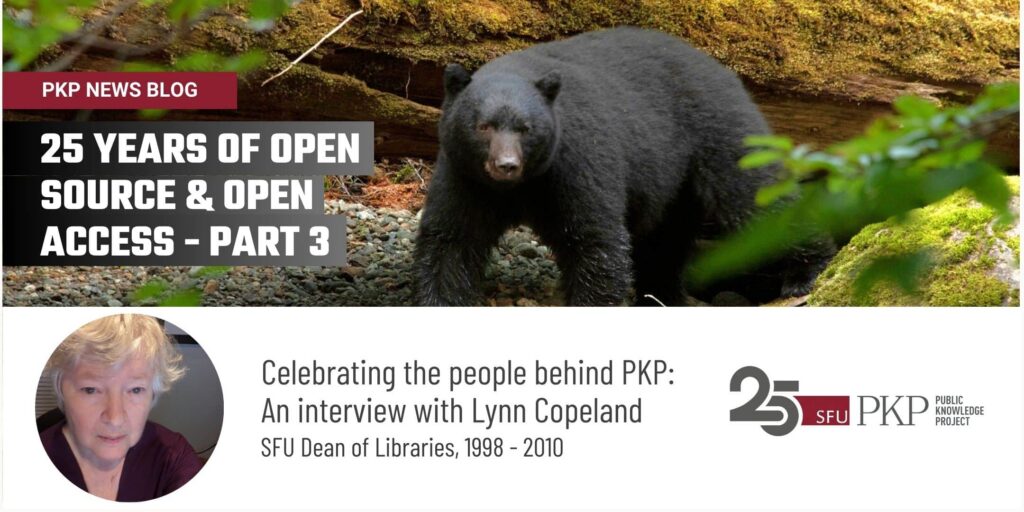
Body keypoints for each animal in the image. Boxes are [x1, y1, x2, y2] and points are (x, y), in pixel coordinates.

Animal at [414, 27, 834, 306]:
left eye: (525, 128)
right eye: (483, 126)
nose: (506, 165)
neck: (521, 187)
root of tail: (723, 70)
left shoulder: (576, 163)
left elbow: (595, 240)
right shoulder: (465, 175)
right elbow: (451, 240)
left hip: (719, 137)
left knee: (758, 199)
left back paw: (807, 273)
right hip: (674, 183)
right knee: (664, 242)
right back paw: (661, 293)